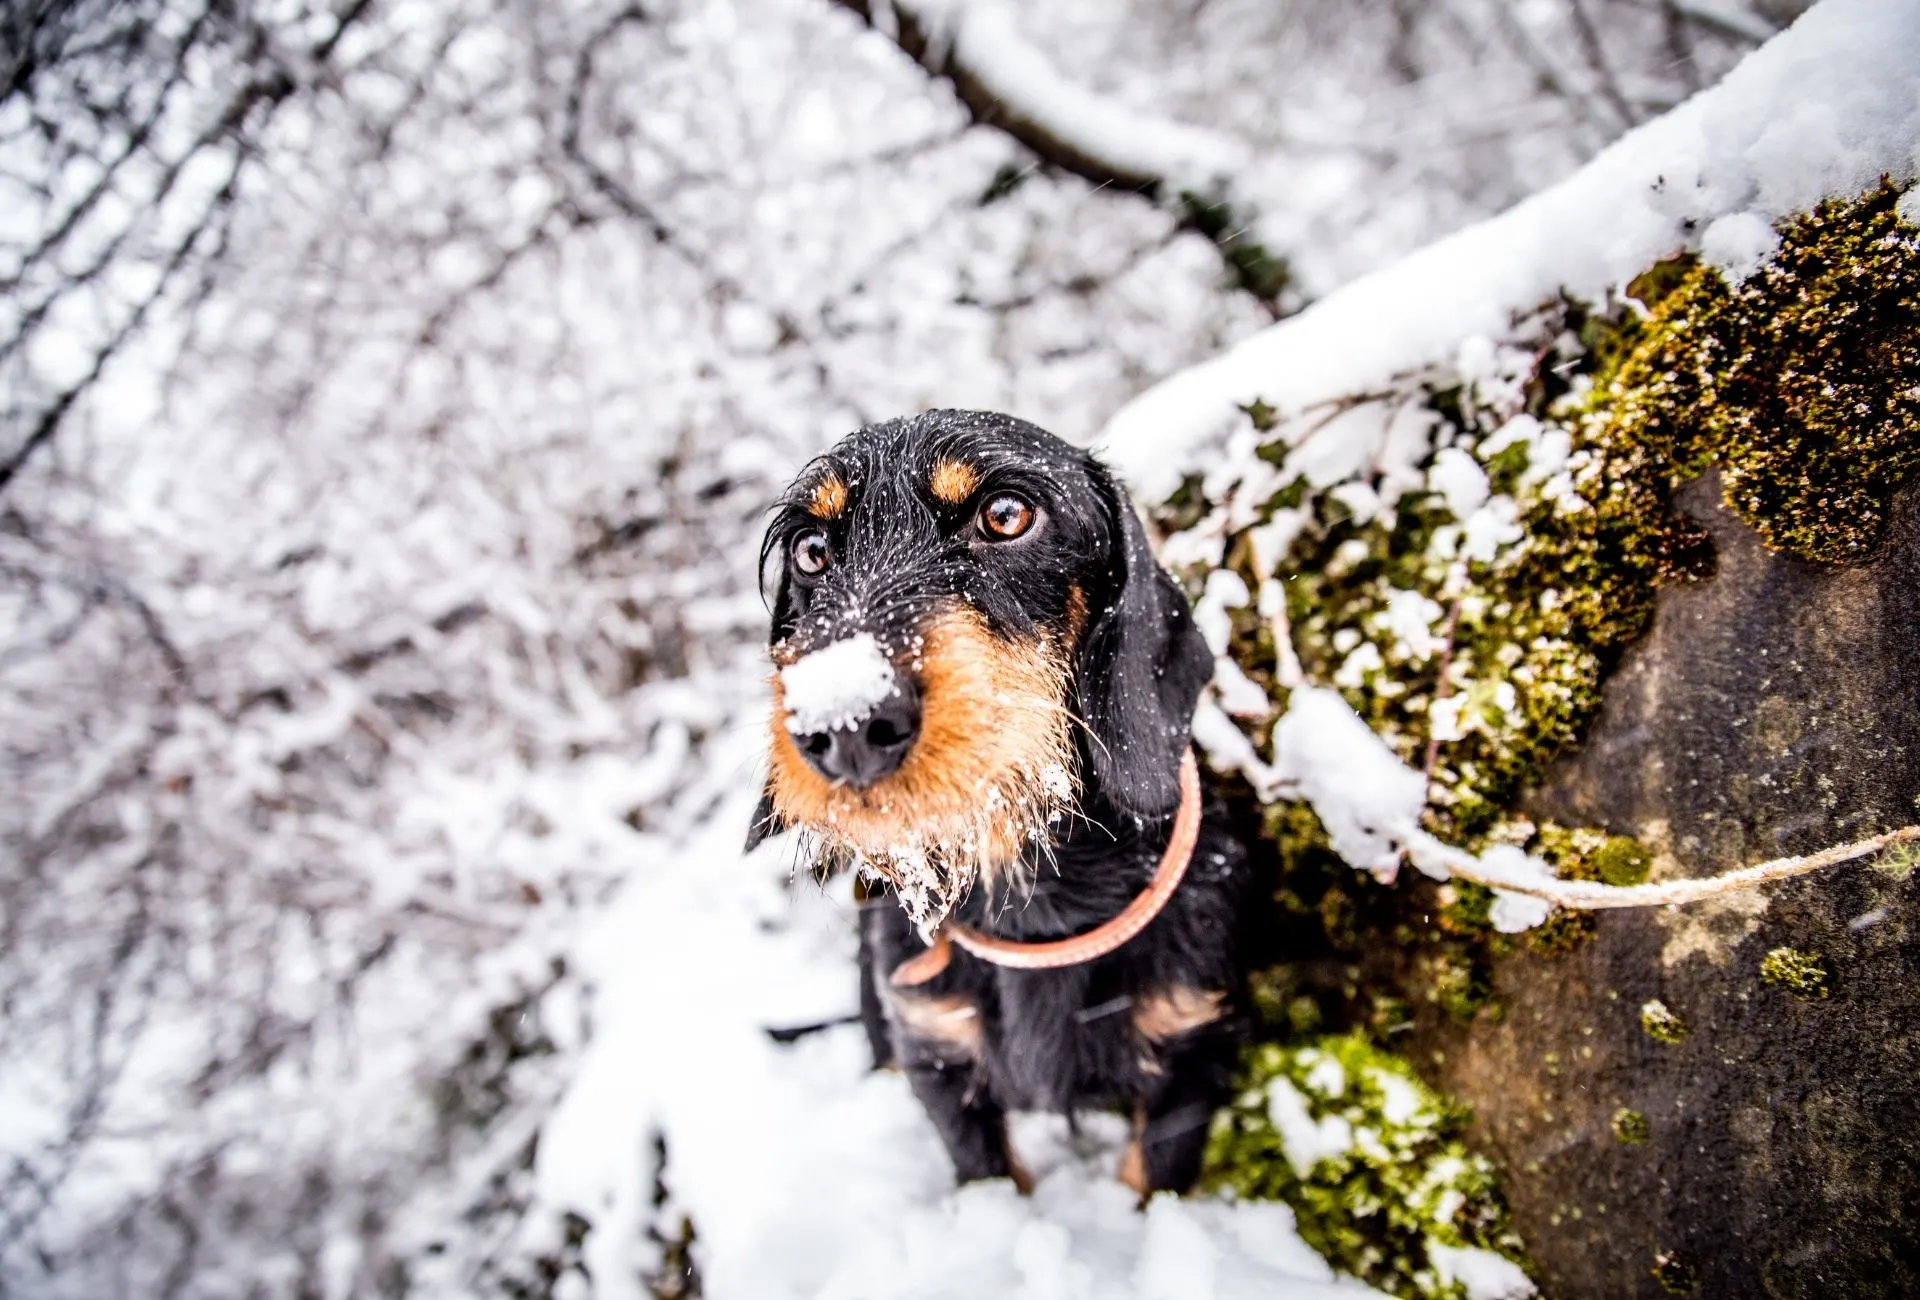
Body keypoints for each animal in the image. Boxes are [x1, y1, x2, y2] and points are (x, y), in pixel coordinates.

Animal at [748, 410, 1244, 1190]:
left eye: (1006, 515)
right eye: (811, 550)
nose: (845, 725)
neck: (1037, 898)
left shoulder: (1190, 1058)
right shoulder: (938, 1060)